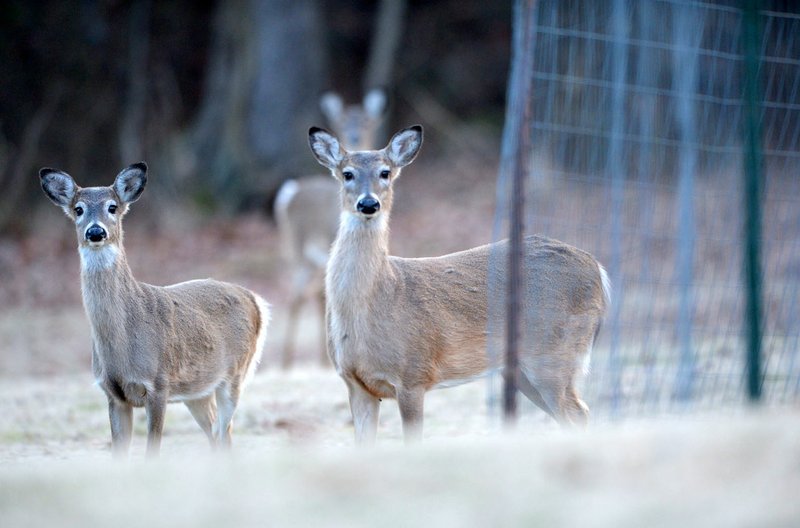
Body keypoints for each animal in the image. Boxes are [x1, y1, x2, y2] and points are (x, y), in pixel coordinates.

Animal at [40, 163, 270, 456]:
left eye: (112, 206)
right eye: (78, 209)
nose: (95, 232)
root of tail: (255, 299)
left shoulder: (159, 385)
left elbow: (152, 452)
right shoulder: (113, 394)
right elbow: (118, 454)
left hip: (235, 374)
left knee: (224, 432)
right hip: (199, 390)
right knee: (216, 433)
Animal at [276, 87, 388, 368]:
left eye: (367, 121)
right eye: (342, 121)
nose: (355, 136)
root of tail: (288, 194)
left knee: (306, 296)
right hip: (296, 249)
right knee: (298, 296)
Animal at [310, 125, 608, 446]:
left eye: (385, 172)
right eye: (347, 173)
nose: (368, 204)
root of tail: (598, 270)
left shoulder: (414, 374)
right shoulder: (356, 384)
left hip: (555, 355)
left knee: (578, 413)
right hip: (521, 370)